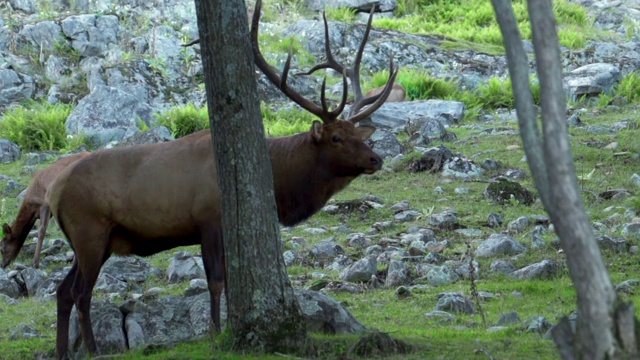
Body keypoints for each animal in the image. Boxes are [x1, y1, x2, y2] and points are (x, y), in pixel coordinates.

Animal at [50, 2, 398, 358]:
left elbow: (232, 281)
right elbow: (215, 281)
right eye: (337, 138)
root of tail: (53, 191)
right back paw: (92, 349)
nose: (376, 158)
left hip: (93, 241)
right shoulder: (209, 220)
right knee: (80, 292)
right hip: (90, 231)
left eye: (358, 133)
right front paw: (215, 331)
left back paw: (63, 350)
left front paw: (231, 323)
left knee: (62, 291)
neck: (281, 187)